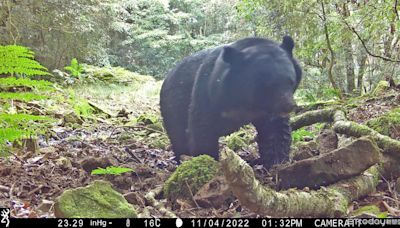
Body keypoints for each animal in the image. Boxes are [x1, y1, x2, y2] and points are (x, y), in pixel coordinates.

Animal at [161, 35, 302, 167]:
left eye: (290, 81)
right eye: (267, 86)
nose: (288, 106)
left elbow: (276, 130)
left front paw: (277, 163)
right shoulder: (208, 92)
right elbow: (202, 130)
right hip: (173, 106)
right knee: (179, 136)